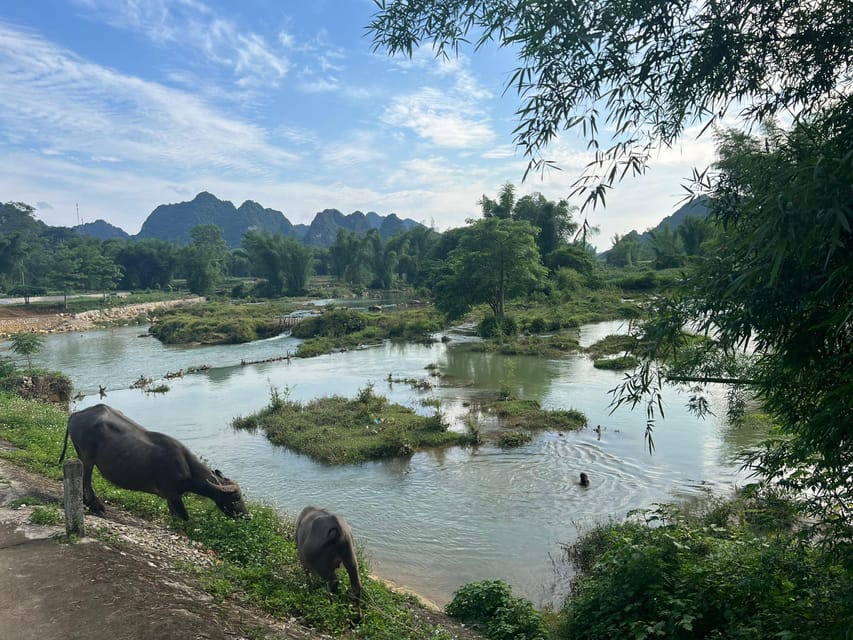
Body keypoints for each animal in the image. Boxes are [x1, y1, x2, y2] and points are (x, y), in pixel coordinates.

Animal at [60, 404, 250, 520]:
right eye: (235, 498)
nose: (248, 517)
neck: (186, 466)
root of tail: (75, 415)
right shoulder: (173, 495)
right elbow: (184, 517)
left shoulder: (171, 498)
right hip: (87, 457)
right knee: (86, 479)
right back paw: (95, 505)